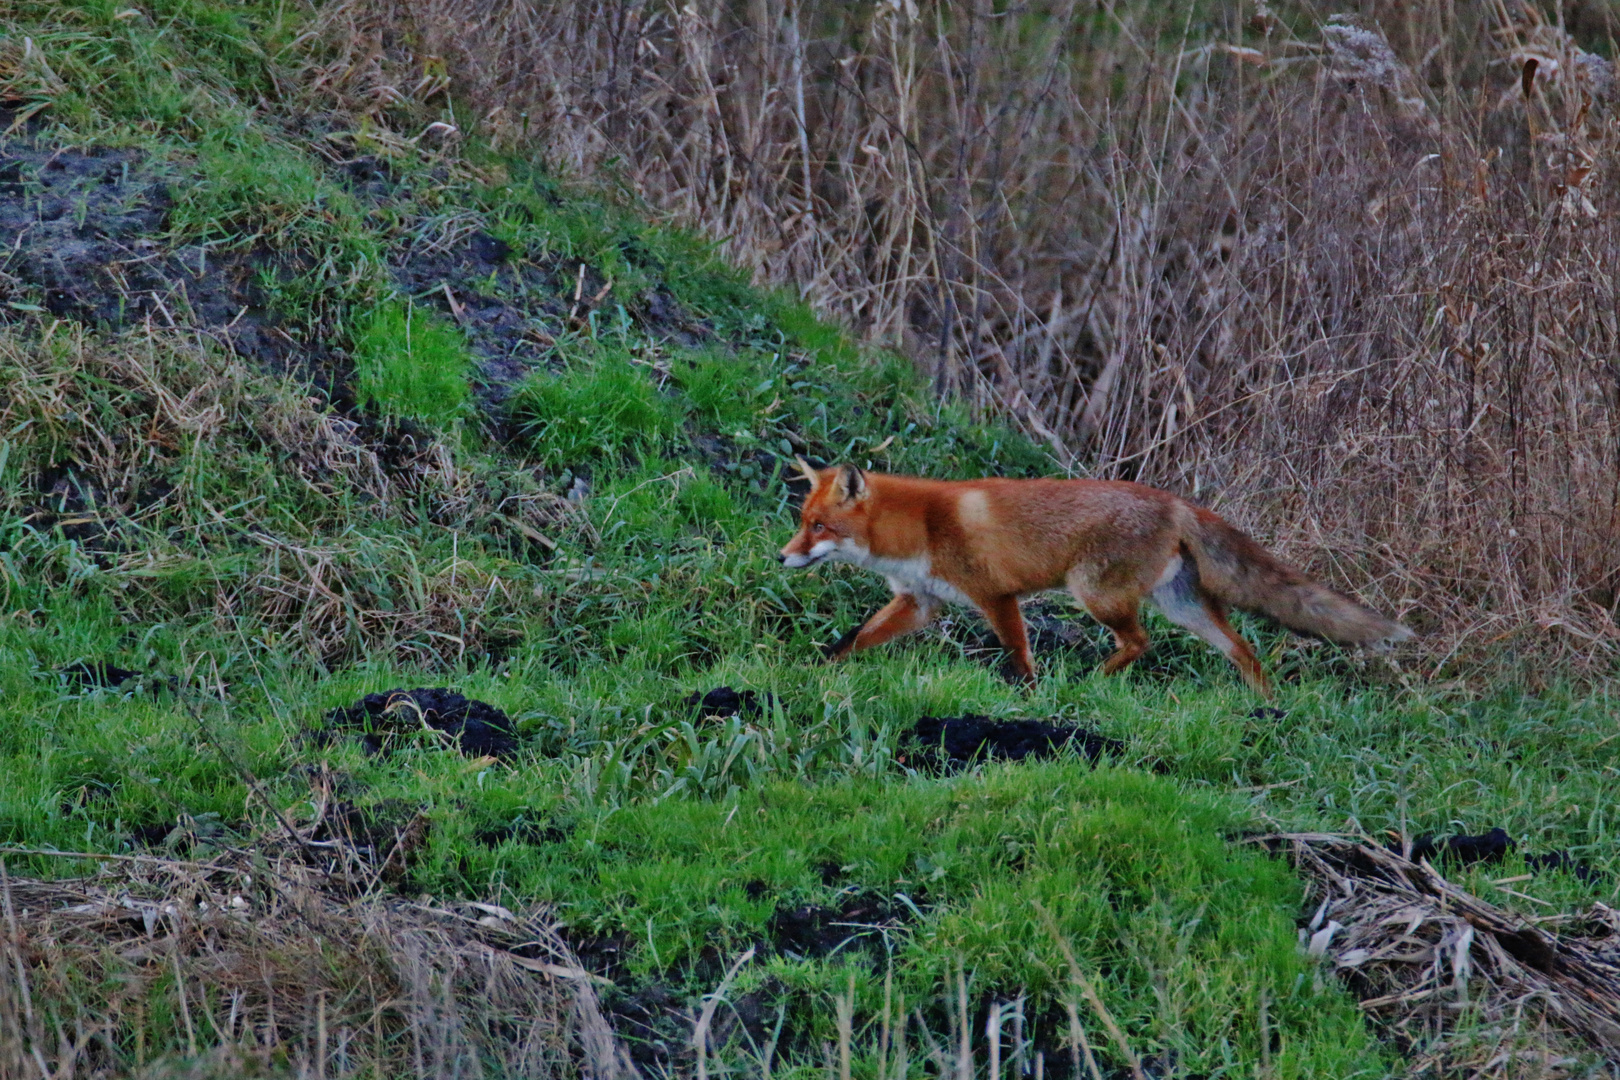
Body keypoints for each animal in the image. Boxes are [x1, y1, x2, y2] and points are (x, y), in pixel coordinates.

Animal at [777, 459, 1412, 696]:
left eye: (817, 526)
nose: (782, 557)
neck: (920, 530)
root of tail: (1174, 501)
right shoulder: (919, 603)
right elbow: (854, 639)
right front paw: (818, 669)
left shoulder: (996, 594)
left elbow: (1018, 653)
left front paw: (1029, 696)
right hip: (1182, 605)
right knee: (1241, 647)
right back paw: (1265, 705)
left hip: (1095, 594)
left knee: (1140, 641)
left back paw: (1093, 680)